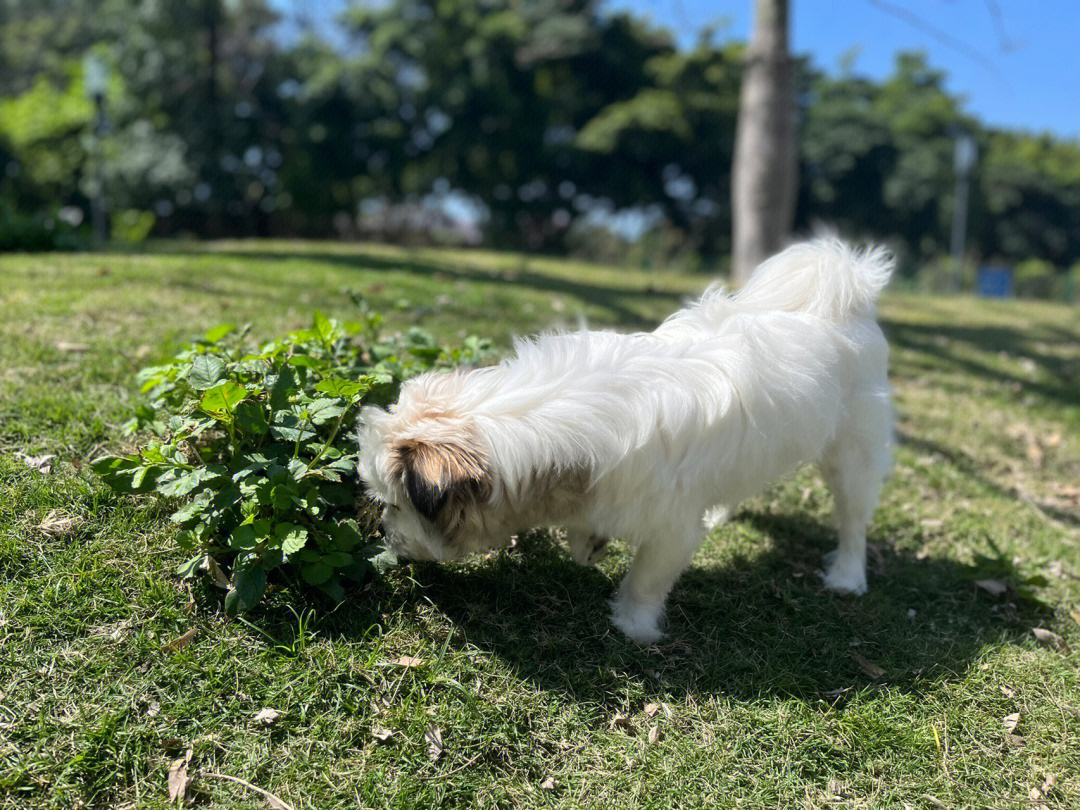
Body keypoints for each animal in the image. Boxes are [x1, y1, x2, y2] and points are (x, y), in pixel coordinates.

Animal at [358, 237, 889, 643]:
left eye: (398, 506)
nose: (385, 534)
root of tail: (846, 289)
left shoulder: (672, 530)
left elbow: (648, 581)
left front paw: (633, 626)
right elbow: (585, 533)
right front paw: (590, 544)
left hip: (854, 454)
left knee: (853, 519)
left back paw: (847, 575)